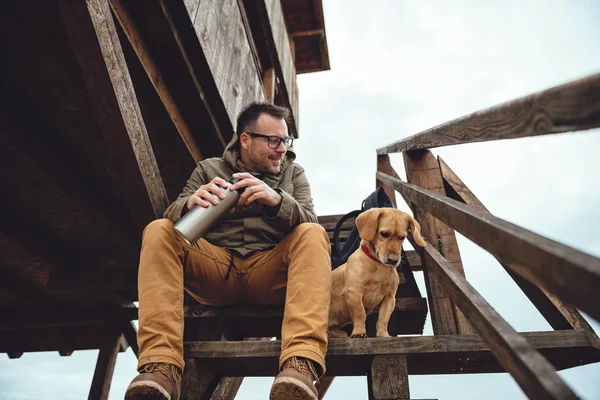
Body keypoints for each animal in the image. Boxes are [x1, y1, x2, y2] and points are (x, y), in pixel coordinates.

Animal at [328, 208, 426, 340]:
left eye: (402, 237)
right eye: (384, 234)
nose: (393, 260)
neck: (378, 265)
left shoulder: (389, 298)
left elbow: (383, 319)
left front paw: (383, 335)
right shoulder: (353, 292)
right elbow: (360, 314)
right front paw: (359, 332)